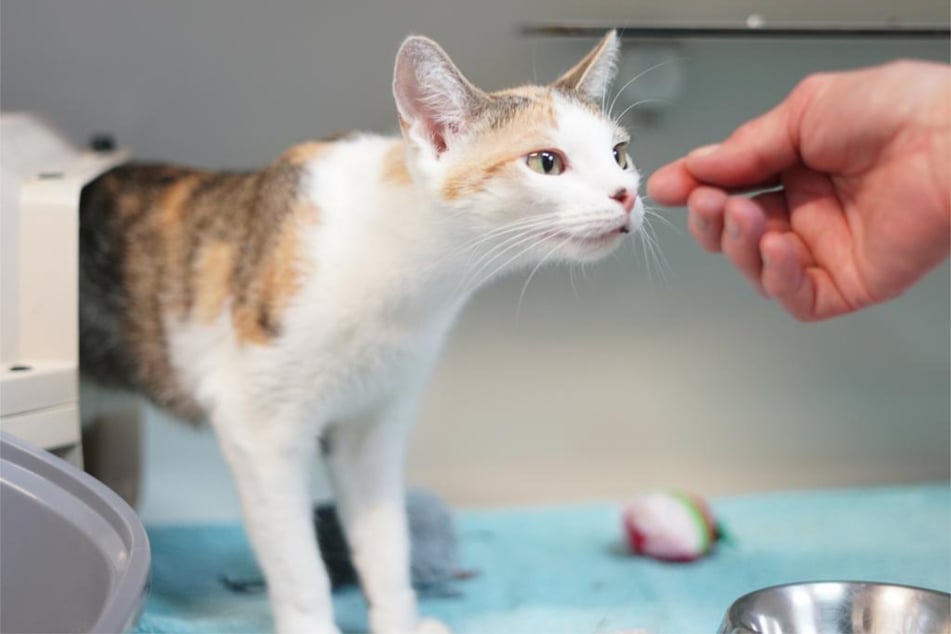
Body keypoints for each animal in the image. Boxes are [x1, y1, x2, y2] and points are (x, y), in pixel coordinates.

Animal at [80, 30, 648, 632]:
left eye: (620, 154)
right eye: (545, 162)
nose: (626, 194)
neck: (407, 277)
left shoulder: (373, 427)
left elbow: (385, 541)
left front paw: (399, 619)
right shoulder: (260, 431)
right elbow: (298, 563)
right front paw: (313, 624)